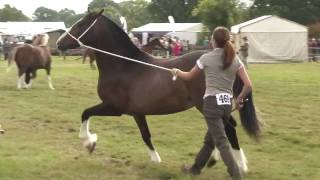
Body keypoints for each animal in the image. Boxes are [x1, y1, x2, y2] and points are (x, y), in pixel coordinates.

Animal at [55, 10, 260, 172]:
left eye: (80, 24)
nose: (58, 43)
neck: (125, 66)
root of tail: (229, 60)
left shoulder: (114, 108)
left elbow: (85, 113)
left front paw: (89, 142)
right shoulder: (137, 112)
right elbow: (145, 135)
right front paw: (155, 159)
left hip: (206, 104)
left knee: (228, 127)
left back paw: (240, 165)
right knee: (222, 128)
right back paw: (215, 160)